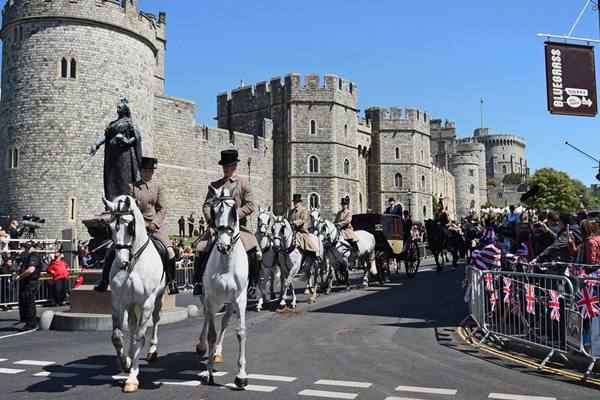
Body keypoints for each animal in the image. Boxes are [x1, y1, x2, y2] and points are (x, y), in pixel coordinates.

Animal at [101, 195, 165, 392]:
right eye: (109, 227)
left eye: (130, 226)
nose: (121, 262)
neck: (134, 263)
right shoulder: (118, 301)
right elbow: (117, 336)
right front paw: (125, 363)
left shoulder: (146, 303)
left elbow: (139, 337)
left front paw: (132, 378)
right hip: (130, 304)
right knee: (131, 323)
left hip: (157, 299)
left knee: (155, 320)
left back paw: (152, 350)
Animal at [197, 188, 248, 388]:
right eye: (213, 210)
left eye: (234, 210)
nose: (223, 246)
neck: (226, 263)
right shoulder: (211, 299)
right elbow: (211, 333)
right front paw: (209, 371)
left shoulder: (240, 300)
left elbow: (240, 332)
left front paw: (241, 375)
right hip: (209, 300)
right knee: (206, 317)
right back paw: (202, 346)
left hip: (230, 303)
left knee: (225, 321)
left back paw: (217, 352)